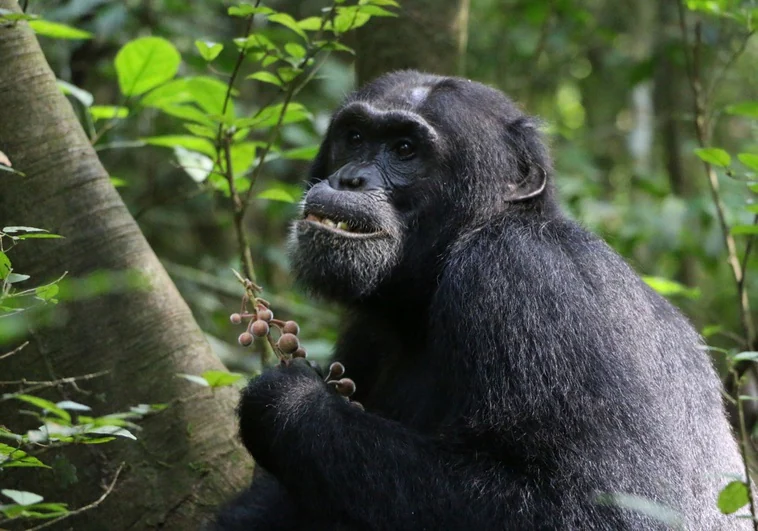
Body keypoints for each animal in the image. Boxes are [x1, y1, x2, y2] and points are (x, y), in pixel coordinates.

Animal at [212, 71, 748, 531]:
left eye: (404, 149)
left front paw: (288, 404)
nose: (350, 178)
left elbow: (597, 506)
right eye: (356, 137)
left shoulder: (523, 281)